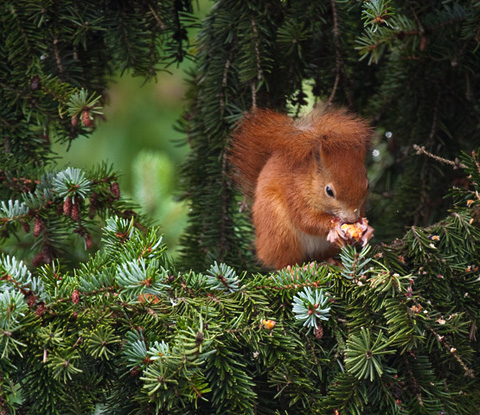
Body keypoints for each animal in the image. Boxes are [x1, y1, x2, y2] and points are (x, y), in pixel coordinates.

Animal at [227, 107, 374, 270]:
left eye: (367, 185)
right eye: (329, 191)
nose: (352, 219)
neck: (309, 181)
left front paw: (367, 229)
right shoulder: (294, 193)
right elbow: (306, 220)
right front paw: (335, 226)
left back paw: (333, 262)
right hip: (280, 233)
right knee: (283, 263)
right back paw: (299, 269)